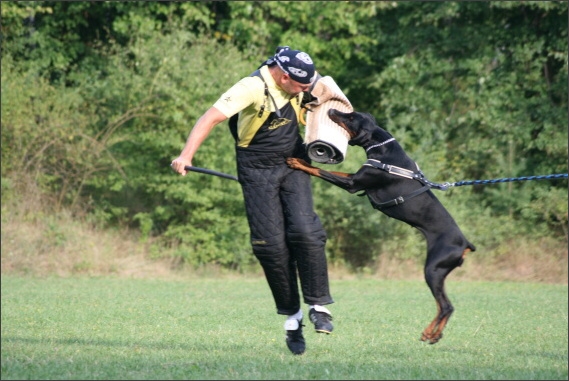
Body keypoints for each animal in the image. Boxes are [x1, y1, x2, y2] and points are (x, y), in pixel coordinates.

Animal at [284, 107, 474, 344]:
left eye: (350, 118)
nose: (332, 109)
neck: (382, 148)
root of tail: (465, 243)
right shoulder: (355, 178)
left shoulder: (352, 184)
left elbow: (319, 170)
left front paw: (296, 162)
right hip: (441, 273)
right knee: (445, 306)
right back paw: (434, 334)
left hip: (433, 269)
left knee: (446, 306)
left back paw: (430, 333)